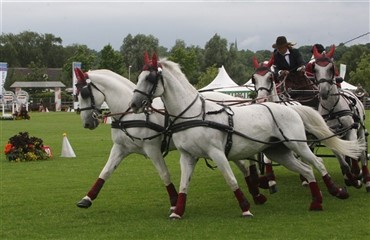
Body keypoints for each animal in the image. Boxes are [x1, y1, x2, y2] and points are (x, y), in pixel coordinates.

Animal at [73, 67, 268, 210]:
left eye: (84, 93)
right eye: (76, 95)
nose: (87, 123)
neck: (130, 115)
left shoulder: (152, 149)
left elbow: (164, 174)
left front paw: (175, 201)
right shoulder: (120, 148)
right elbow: (105, 172)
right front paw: (87, 199)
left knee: (245, 162)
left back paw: (258, 189)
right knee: (243, 165)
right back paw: (256, 192)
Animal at [129, 53, 364, 218]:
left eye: (150, 77)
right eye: (138, 76)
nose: (134, 104)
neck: (194, 114)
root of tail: (292, 108)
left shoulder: (217, 153)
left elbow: (231, 179)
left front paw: (245, 207)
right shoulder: (188, 156)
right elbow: (184, 185)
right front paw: (177, 211)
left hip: (298, 145)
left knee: (318, 163)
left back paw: (338, 189)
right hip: (279, 152)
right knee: (306, 170)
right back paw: (316, 202)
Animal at [312, 44, 370, 191]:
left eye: (330, 68)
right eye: (315, 68)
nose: (323, 91)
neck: (332, 109)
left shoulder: (351, 130)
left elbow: (353, 153)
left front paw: (357, 174)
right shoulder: (330, 135)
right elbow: (342, 160)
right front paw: (351, 178)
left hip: (360, 130)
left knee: (362, 153)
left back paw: (366, 179)